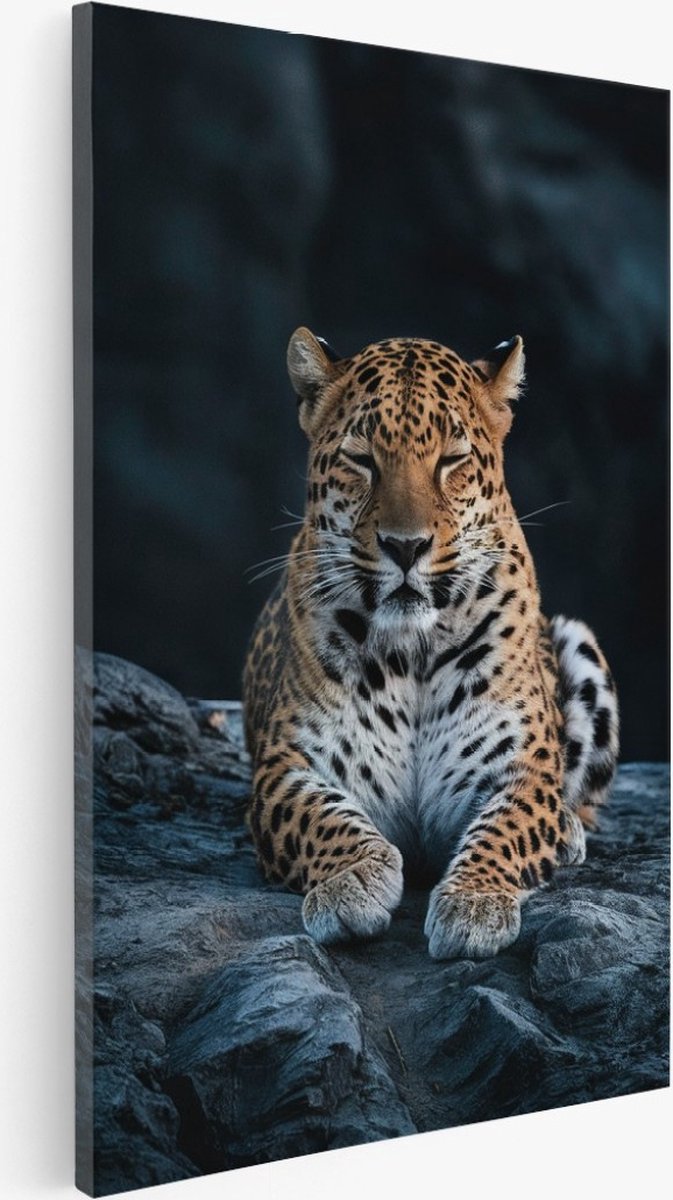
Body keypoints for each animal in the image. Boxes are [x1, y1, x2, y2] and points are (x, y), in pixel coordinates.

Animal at [242, 327, 619, 959]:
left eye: (451, 460)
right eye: (362, 460)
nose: (405, 546)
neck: (411, 652)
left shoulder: (521, 766)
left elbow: (505, 829)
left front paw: (474, 902)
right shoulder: (285, 766)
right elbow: (323, 818)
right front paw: (352, 883)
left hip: (580, 644)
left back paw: (567, 832)